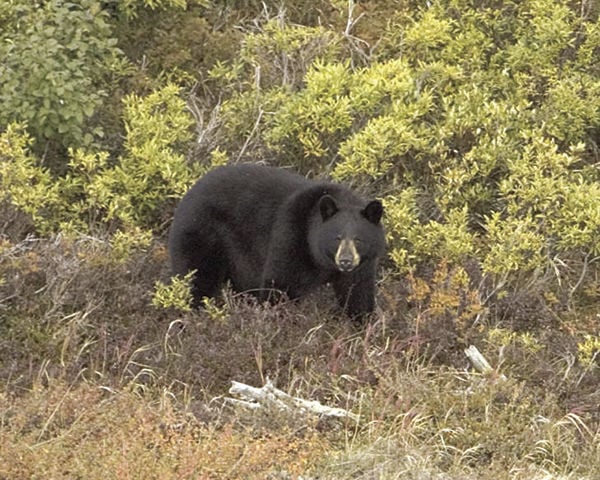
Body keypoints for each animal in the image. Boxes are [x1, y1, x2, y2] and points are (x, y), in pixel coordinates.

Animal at [168, 163, 384, 316]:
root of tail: (188, 194)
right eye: (336, 237)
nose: (346, 261)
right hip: (202, 234)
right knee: (196, 277)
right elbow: (280, 284)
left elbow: (358, 294)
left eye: (359, 239)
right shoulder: (291, 236)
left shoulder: (362, 266)